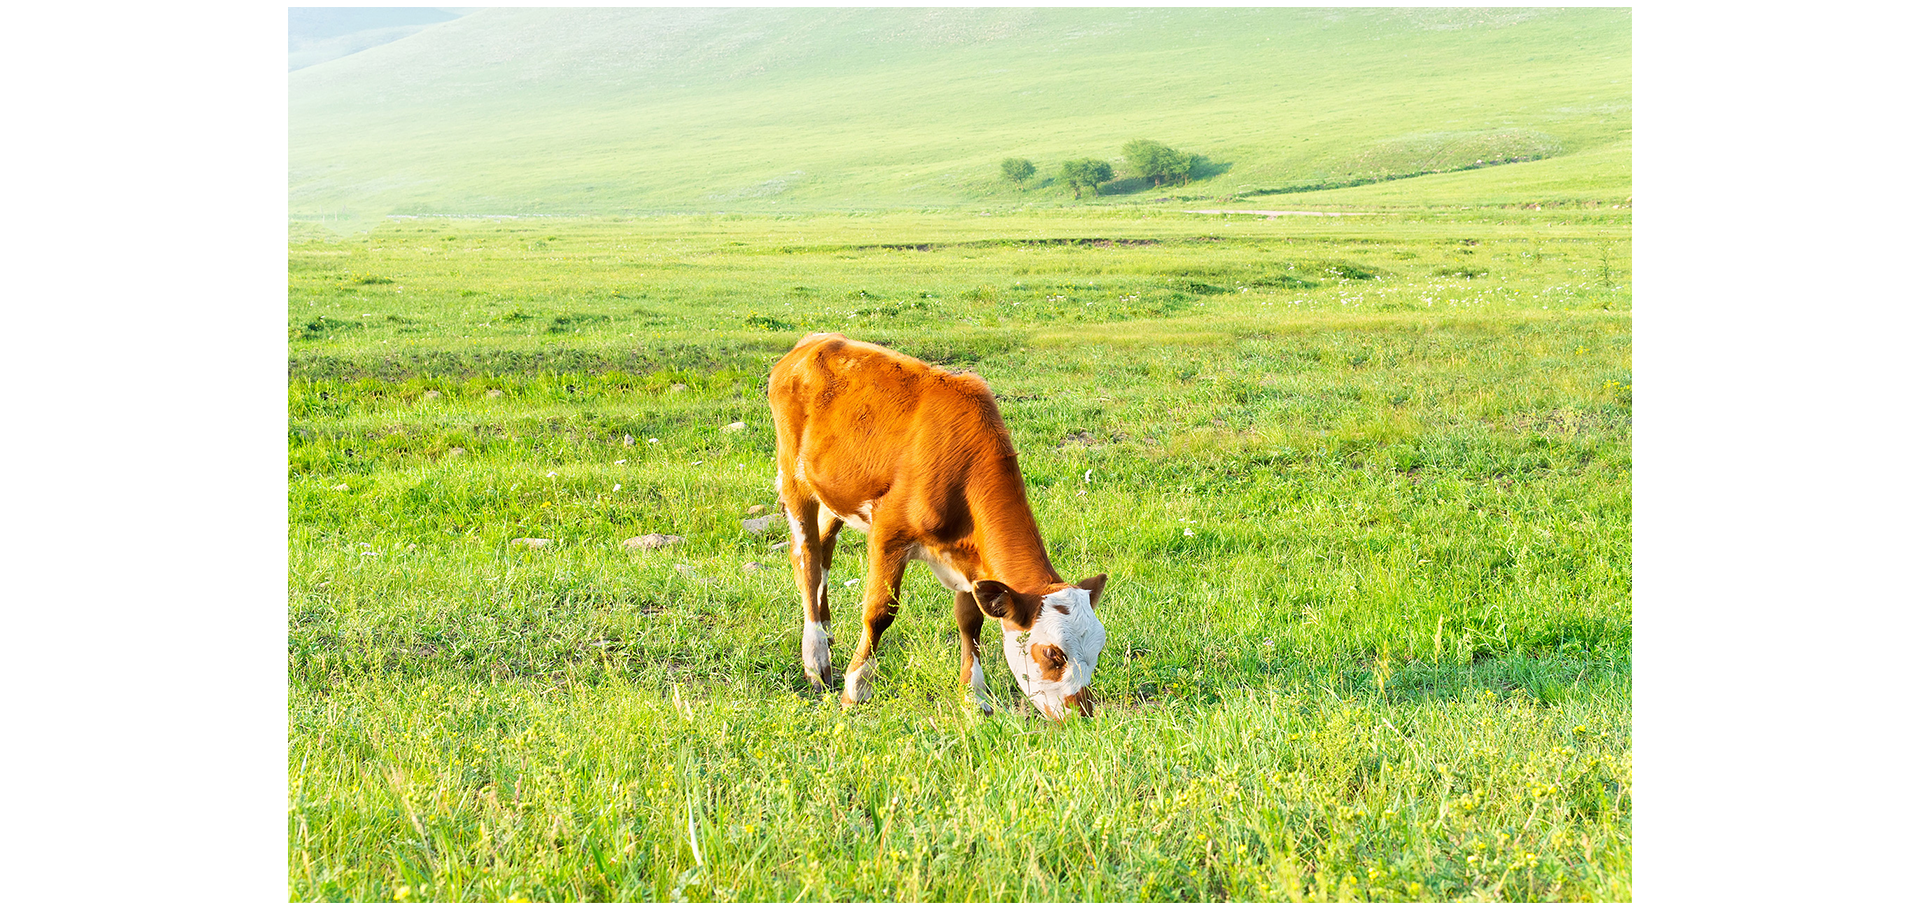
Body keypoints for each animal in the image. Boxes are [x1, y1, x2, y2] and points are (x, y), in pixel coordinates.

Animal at [764, 328, 1113, 717]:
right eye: (1054, 654)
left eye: (1097, 651)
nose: (1083, 714)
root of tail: (815, 341)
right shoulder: (888, 533)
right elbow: (879, 612)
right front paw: (856, 689)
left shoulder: (970, 558)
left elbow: (971, 621)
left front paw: (975, 697)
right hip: (793, 475)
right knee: (807, 557)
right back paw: (816, 658)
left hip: (837, 492)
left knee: (824, 549)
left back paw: (826, 632)